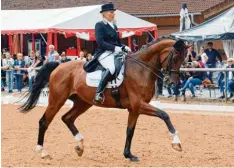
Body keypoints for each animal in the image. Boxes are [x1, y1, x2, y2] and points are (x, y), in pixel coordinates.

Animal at [19, 37, 188, 162]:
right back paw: (42, 151)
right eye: (175, 57)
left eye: (183, 59)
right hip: (56, 100)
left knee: (67, 118)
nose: (173, 83)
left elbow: (130, 131)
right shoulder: (139, 104)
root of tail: (58, 66)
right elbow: (164, 115)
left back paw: (80, 146)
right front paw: (177, 143)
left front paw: (128, 155)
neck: (141, 68)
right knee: (44, 122)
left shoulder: (134, 108)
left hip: (83, 103)